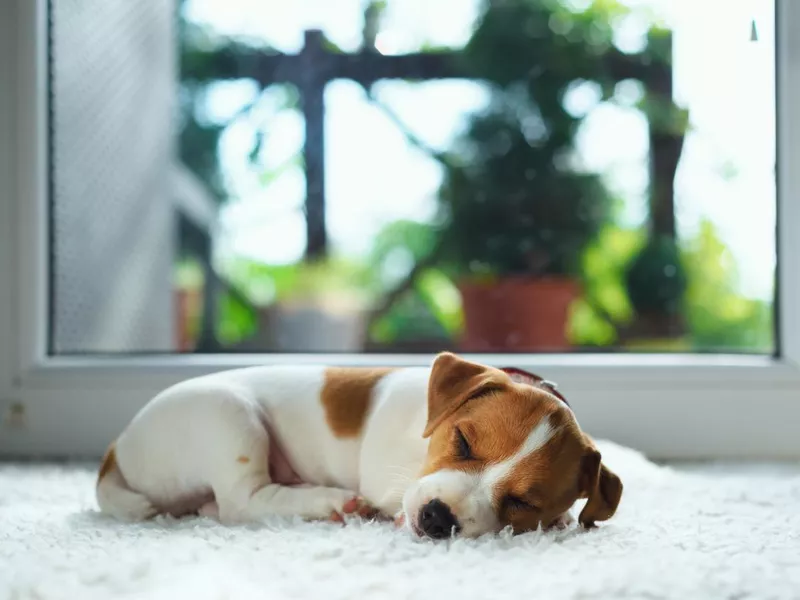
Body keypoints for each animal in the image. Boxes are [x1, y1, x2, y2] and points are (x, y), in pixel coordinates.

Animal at [97, 352, 620, 540]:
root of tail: (116, 450)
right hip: (229, 416)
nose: (437, 518)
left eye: (523, 502)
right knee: (241, 503)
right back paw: (332, 502)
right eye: (463, 441)